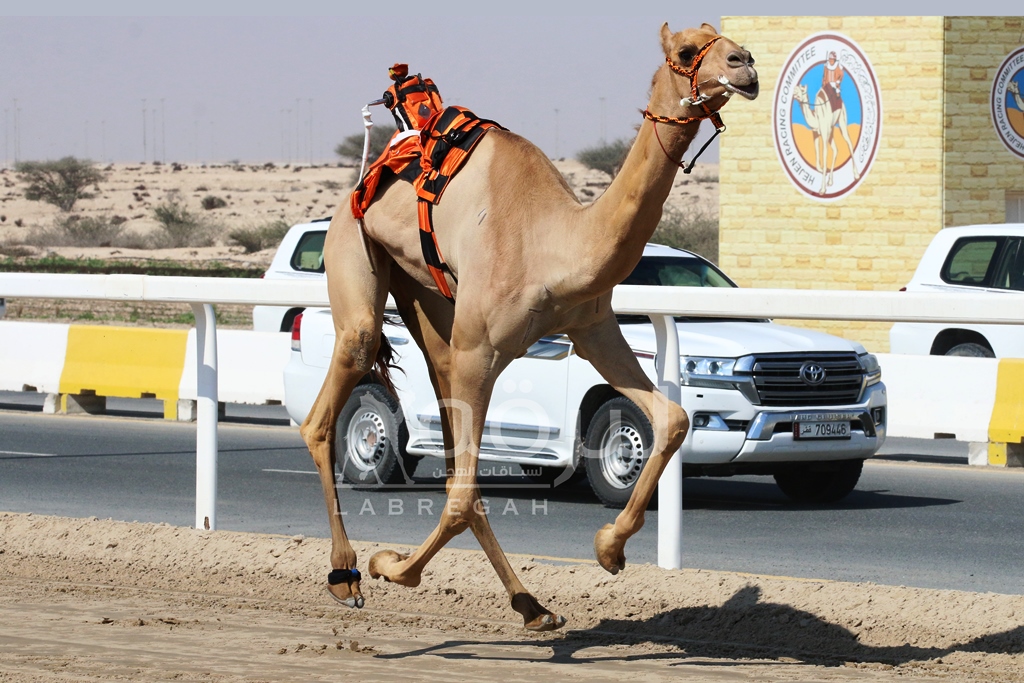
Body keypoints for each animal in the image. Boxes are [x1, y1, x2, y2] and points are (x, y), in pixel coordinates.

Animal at [299, 21, 757, 634]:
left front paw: (610, 548)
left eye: (723, 38)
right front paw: (389, 566)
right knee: (333, 398)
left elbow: (674, 418)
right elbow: (461, 495)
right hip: (354, 249)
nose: (745, 63)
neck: (556, 244)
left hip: (426, 298)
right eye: (687, 49)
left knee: (441, 413)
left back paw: (532, 605)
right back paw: (346, 572)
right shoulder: (483, 350)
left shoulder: (592, 325)